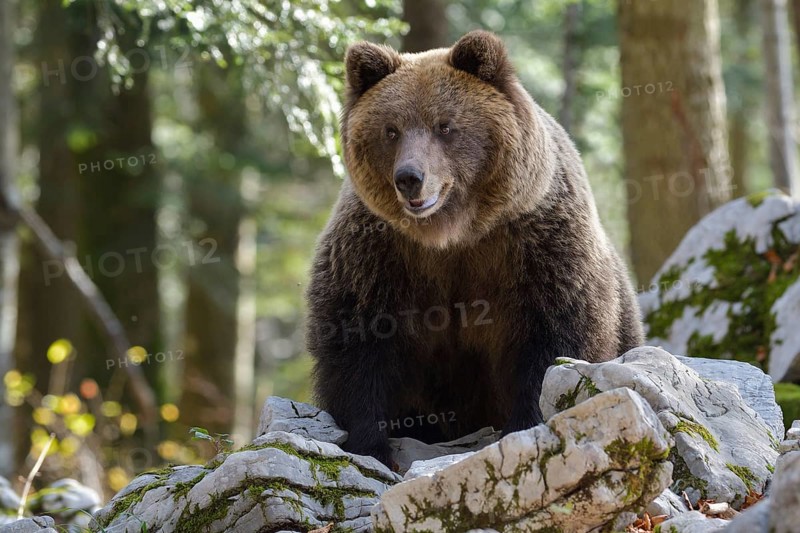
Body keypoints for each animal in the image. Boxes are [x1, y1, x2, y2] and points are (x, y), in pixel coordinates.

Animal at [306, 30, 643, 467]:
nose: (409, 178)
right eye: (391, 130)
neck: (454, 234)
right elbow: (357, 339)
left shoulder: (539, 244)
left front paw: (528, 424)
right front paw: (370, 444)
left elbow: (554, 337)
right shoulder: (377, 253)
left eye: (444, 126)